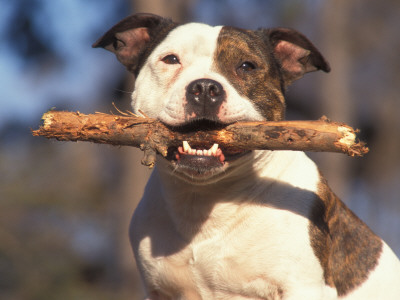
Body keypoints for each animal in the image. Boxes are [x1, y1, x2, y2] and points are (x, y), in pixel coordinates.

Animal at [94, 13, 400, 298]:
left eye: (246, 66)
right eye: (171, 59)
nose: (204, 88)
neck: (205, 199)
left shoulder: (302, 286)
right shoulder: (159, 290)